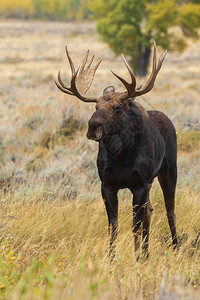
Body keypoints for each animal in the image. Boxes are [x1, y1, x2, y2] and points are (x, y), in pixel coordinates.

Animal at [55, 42, 178, 258]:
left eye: (118, 107)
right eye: (95, 106)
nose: (92, 127)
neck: (121, 157)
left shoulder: (139, 184)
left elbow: (135, 225)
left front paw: (137, 258)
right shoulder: (107, 184)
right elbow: (114, 225)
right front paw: (112, 258)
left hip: (169, 171)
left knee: (169, 210)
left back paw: (175, 247)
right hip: (151, 182)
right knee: (150, 211)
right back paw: (147, 253)